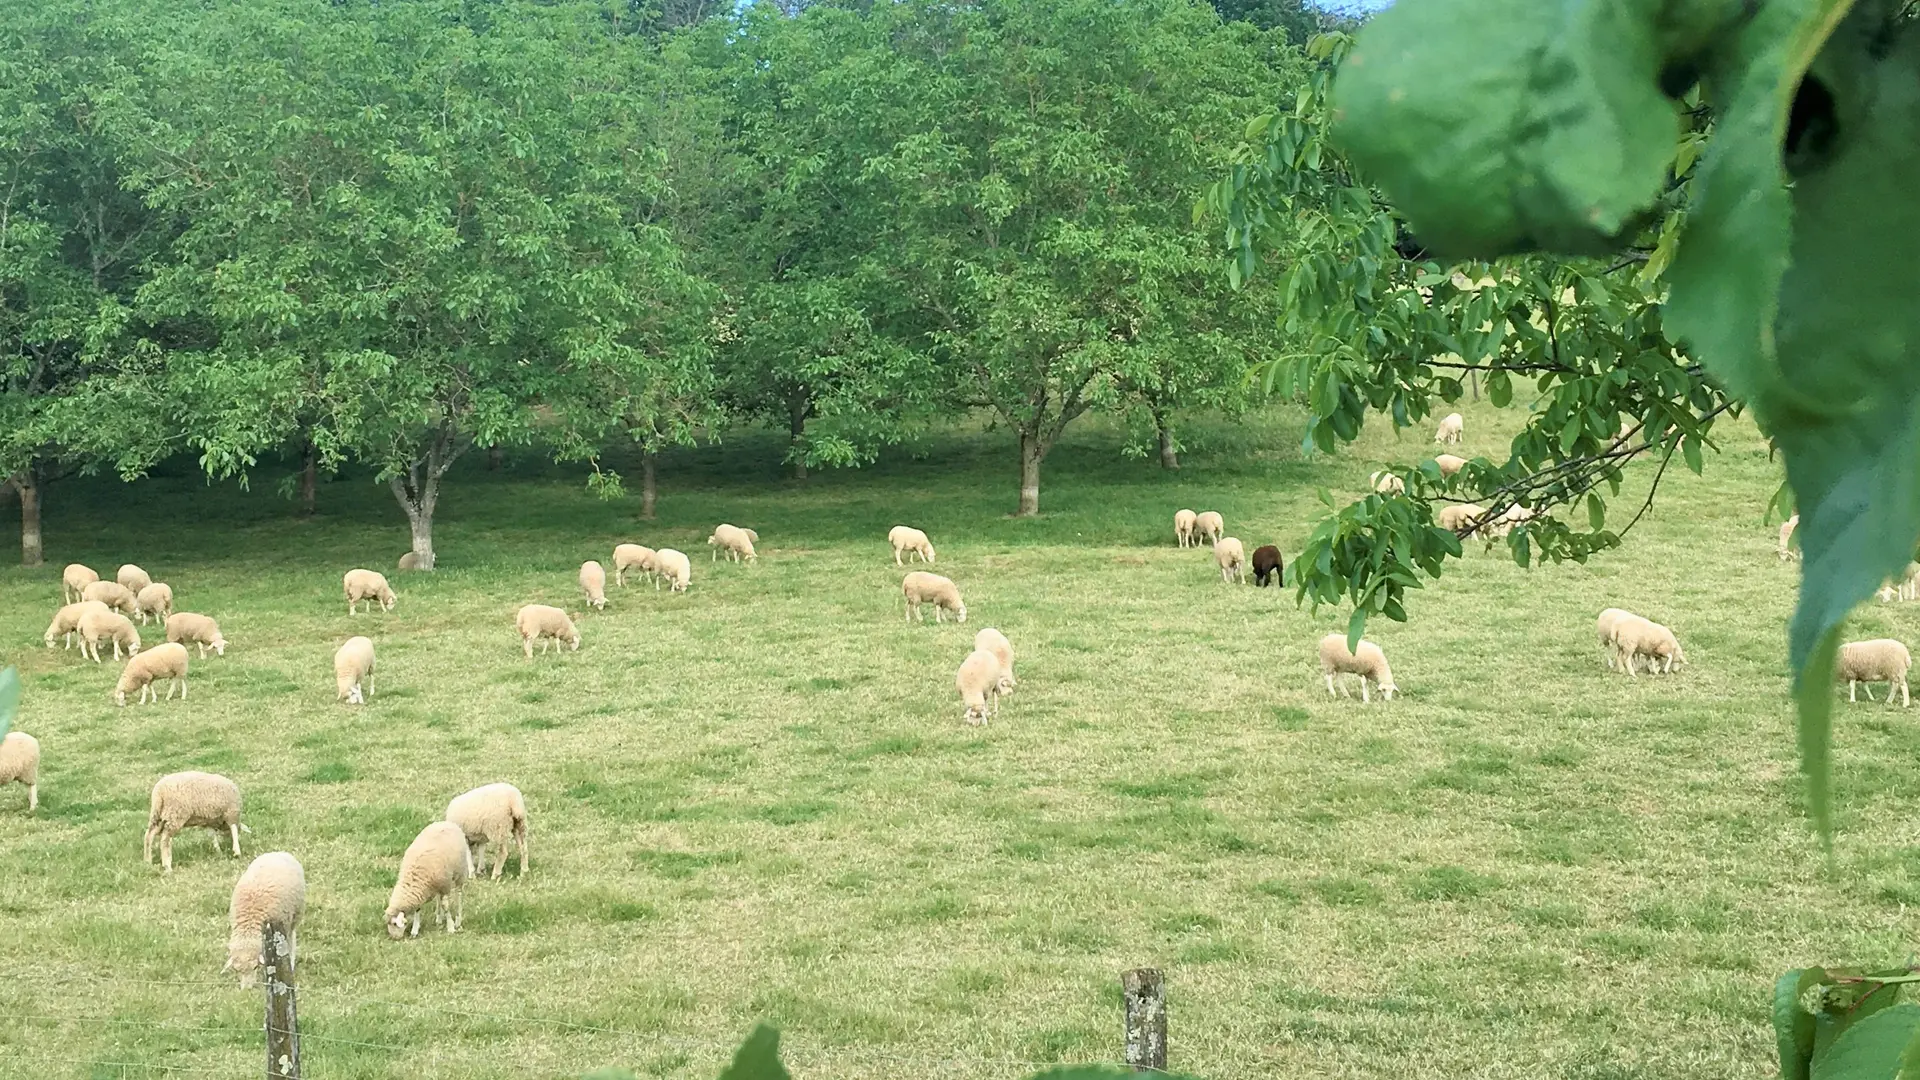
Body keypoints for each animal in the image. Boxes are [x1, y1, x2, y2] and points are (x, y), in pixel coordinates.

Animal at [223, 849, 303, 983]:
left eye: (255, 967)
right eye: (236, 970)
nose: (247, 988)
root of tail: (278, 852)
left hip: (294, 916)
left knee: (291, 938)